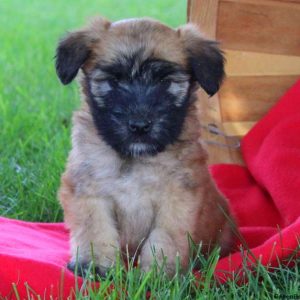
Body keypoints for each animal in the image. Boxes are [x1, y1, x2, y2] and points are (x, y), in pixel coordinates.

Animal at [55, 17, 234, 276]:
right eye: (114, 80)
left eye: (165, 82)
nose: (139, 125)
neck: (135, 159)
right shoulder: (89, 192)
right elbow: (95, 230)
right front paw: (96, 266)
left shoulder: (177, 200)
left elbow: (164, 239)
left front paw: (157, 273)